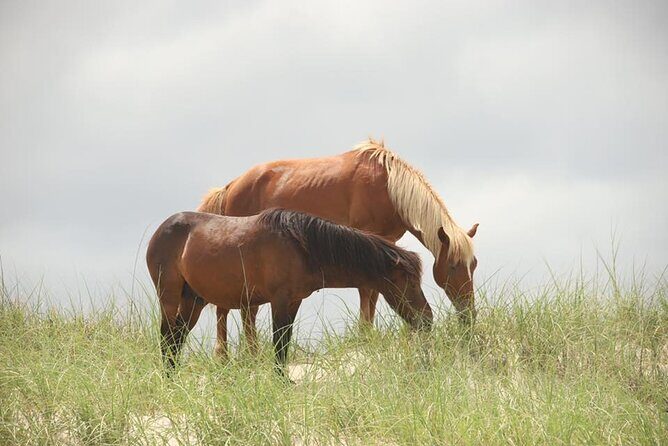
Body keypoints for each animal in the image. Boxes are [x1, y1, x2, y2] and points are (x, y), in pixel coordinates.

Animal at [146, 208, 432, 376]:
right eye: (408, 281)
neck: (301, 246)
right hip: (169, 299)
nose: (428, 318)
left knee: (176, 340)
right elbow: (279, 342)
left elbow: (284, 341)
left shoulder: (293, 302)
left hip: (193, 301)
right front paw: (280, 381)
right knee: (167, 339)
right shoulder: (279, 301)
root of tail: (160, 231)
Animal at [198, 139, 478, 355]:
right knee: (231, 308)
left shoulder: (387, 243)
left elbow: (374, 290)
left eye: (473, 266)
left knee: (245, 308)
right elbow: (367, 289)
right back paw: (228, 356)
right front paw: (365, 335)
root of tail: (230, 187)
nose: (469, 314)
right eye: (453, 267)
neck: (388, 186)